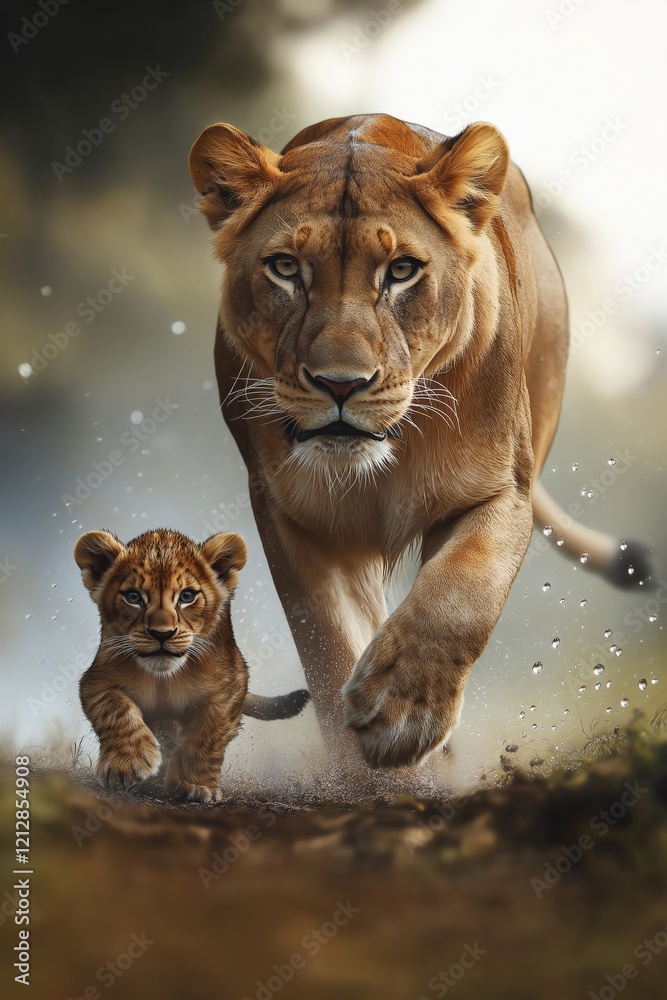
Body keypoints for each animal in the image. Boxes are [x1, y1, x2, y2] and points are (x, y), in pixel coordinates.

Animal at [75, 528, 309, 802]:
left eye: (187, 596)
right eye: (133, 596)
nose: (162, 634)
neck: (165, 677)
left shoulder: (228, 689)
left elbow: (206, 737)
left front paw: (195, 786)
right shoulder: (97, 679)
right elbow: (115, 710)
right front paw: (126, 765)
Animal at [188, 113, 650, 769]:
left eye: (402, 271)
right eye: (285, 268)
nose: (341, 383)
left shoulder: (503, 492)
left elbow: (459, 595)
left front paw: (403, 714)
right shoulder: (293, 515)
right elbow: (329, 645)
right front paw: (366, 770)